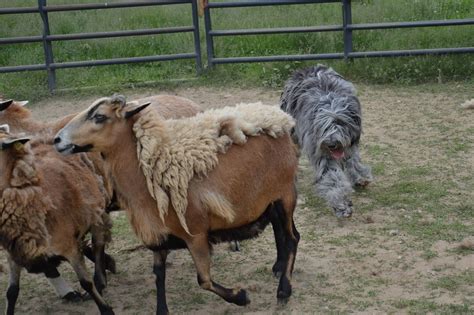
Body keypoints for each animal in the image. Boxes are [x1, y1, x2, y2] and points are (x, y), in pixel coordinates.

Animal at [0, 127, 114, 315]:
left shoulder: (68, 246)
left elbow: (86, 282)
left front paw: (105, 309)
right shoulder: (14, 254)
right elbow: (12, 292)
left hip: (97, 211)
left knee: (98, 245)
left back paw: (100, 280)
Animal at [54, 95, 300, 314]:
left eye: (99, 116)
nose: (57, 140)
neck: (150, 175)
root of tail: (281, 119)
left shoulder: (196, 234)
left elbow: (204, 280)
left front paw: (241, 297)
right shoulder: (159, 236)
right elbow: (159, 275)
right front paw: (162, 310)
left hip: (285, 194)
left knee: (292, 238)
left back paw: (284, 290)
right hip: (268, 201)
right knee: (282, 231)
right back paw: (279, 268)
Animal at [280, 64, 372, 217]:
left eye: (341, 122)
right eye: (324, 126)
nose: (331, 144)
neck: (330, 102)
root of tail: (307, 68)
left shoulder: (351, 145)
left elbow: (353, 160)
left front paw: (360, 177)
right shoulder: (322, 153)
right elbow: (333, 178)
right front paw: (341, 204)